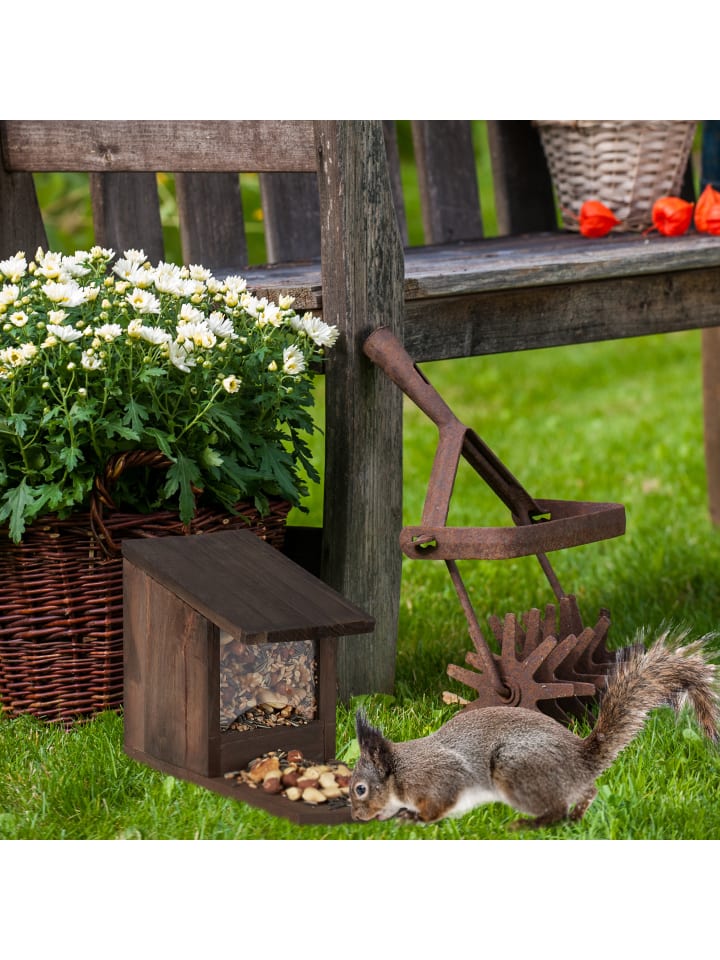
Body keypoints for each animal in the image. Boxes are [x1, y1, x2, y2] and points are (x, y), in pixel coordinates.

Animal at [348, 629, 719, 828]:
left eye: (360, 789)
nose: (356, 816)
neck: (401, 770)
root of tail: (581, 759)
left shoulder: (439, 779)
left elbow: (439, 805)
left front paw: (413, 819)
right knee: (585, 794)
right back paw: (578, 814)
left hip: (516, 769)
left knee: (553, 810)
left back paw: (527, 824)